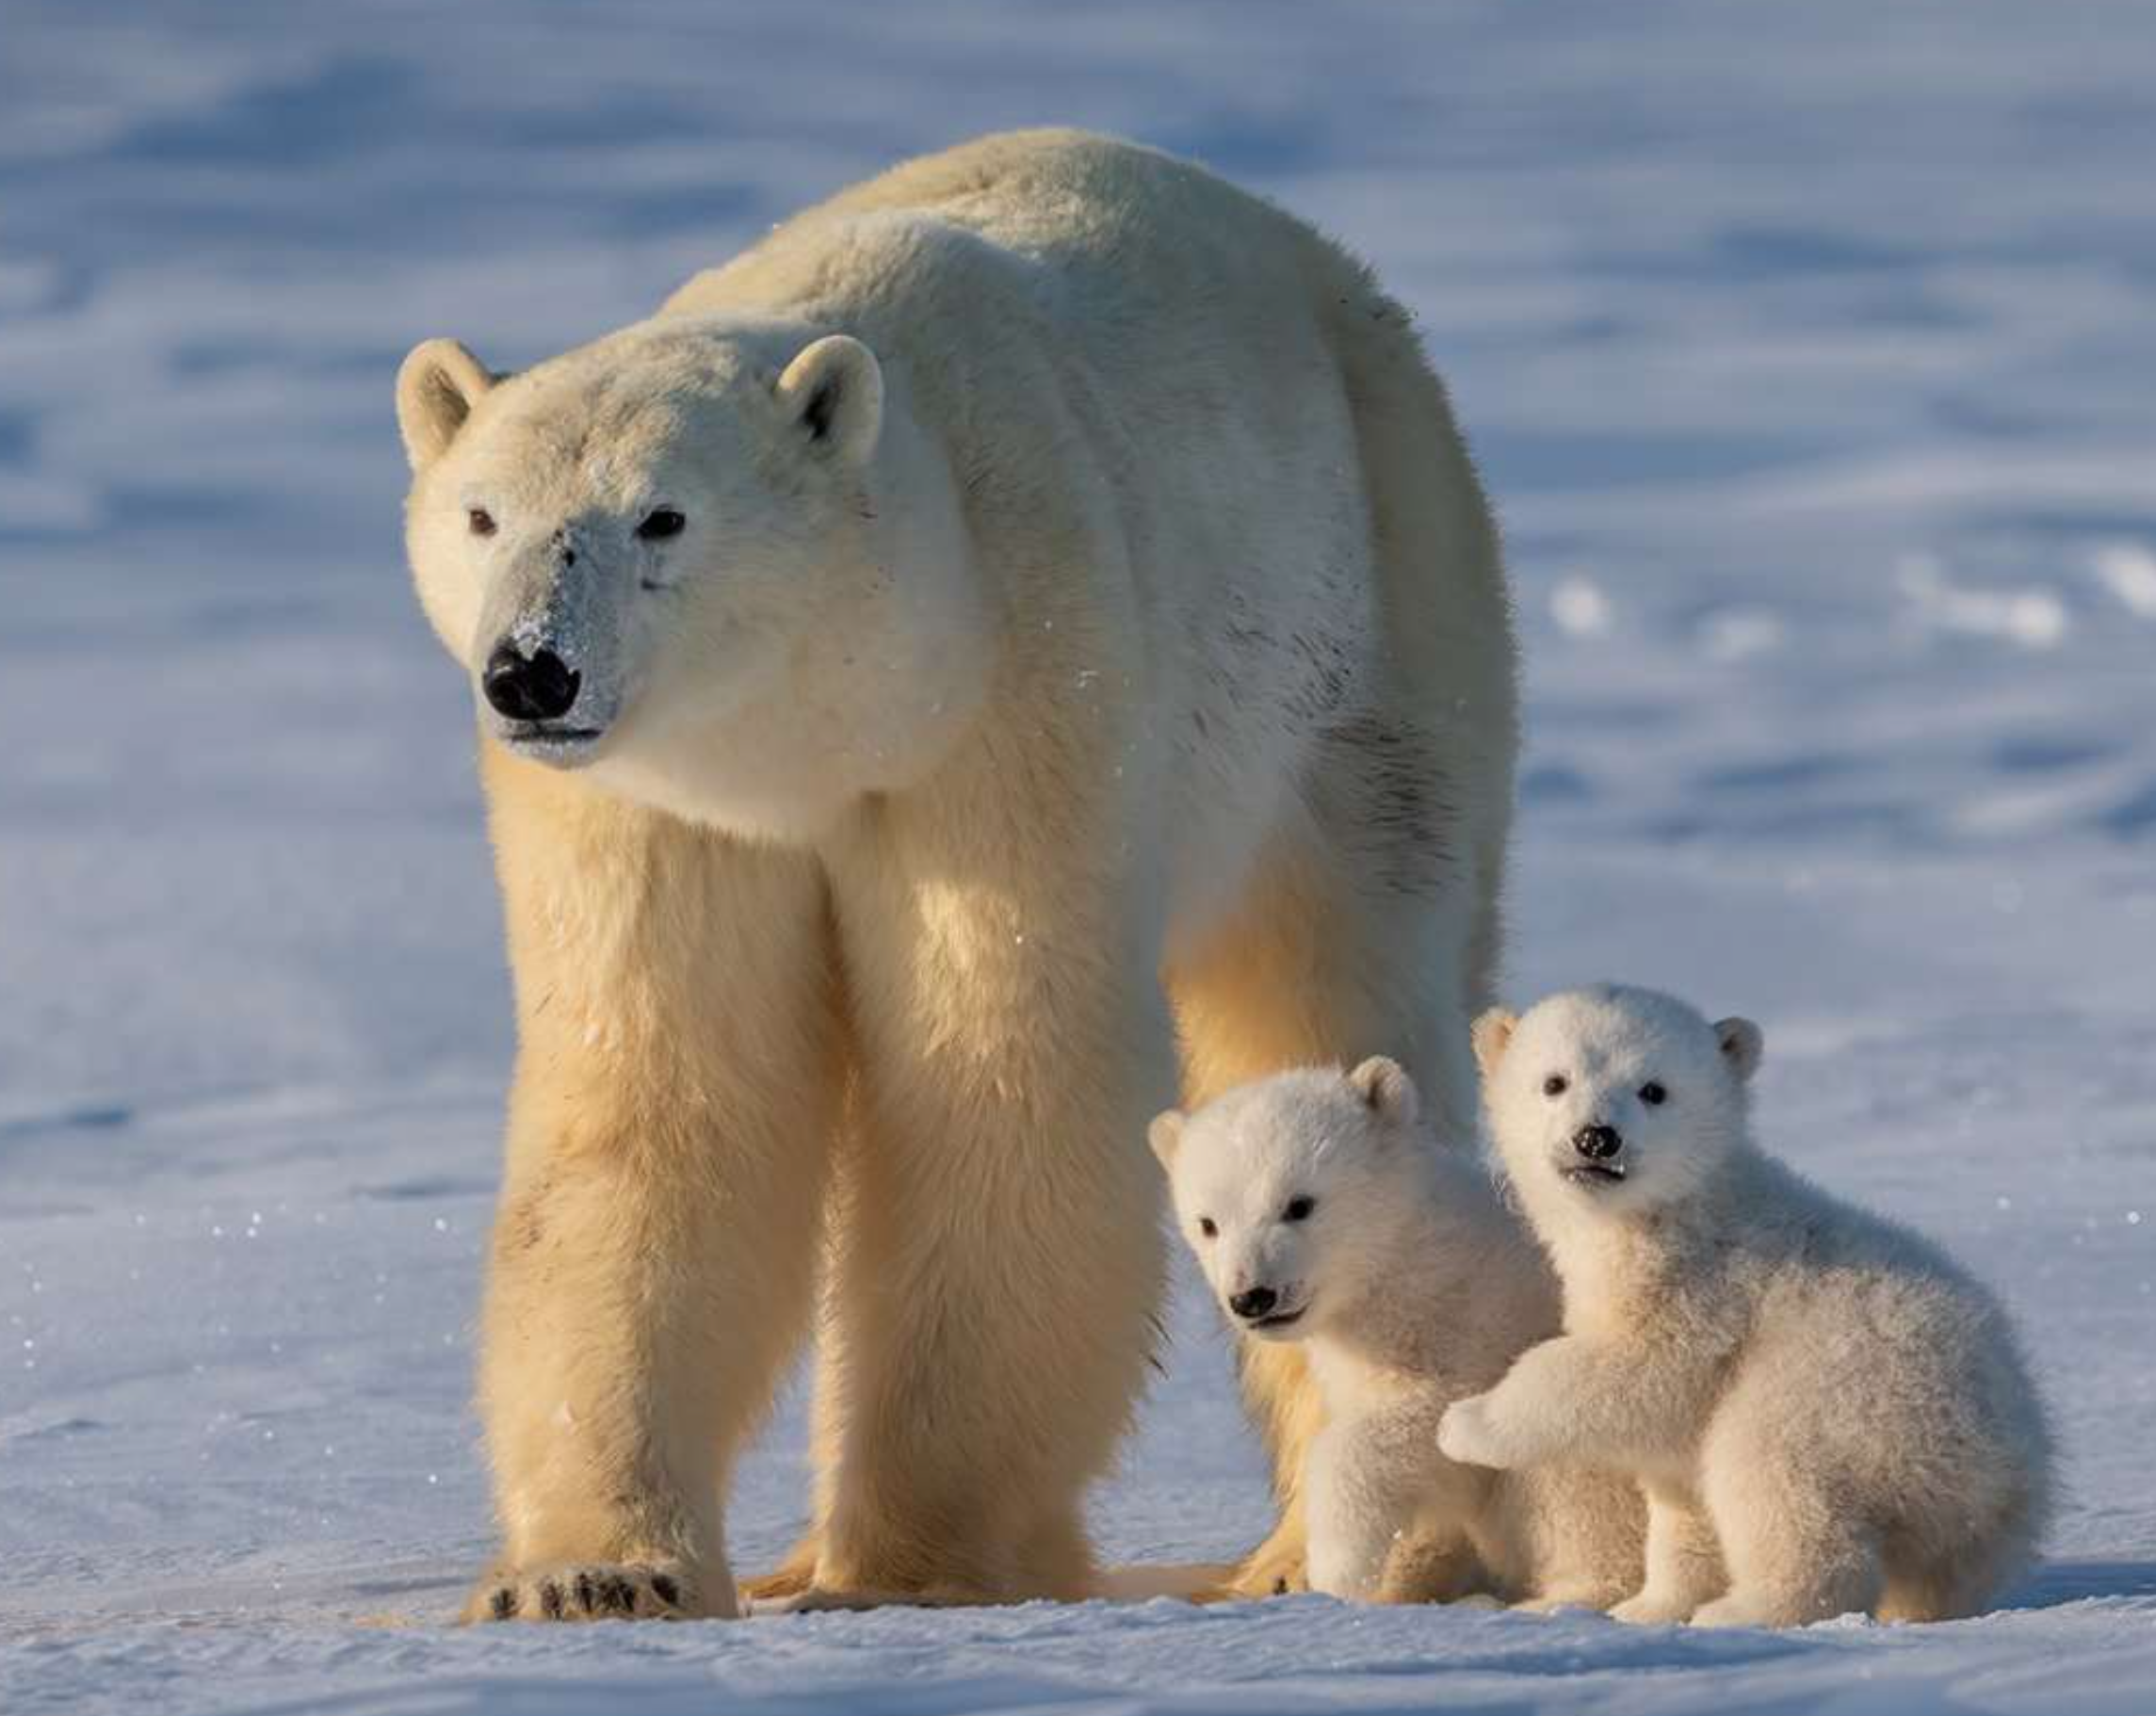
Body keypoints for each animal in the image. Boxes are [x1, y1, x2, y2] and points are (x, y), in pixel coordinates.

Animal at [397, 134, 1526, 1621]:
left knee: (1330, 986)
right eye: (482, 514)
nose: (532, 669)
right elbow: (659, 1103)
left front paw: (908, 1568)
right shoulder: (661, 811)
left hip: (1371, 639)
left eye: (664, 516)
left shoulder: (1017, 697)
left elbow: (999, 1085)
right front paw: (593, 1572)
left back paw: (1320, 1551)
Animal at [1155, 1060, 1638, 1612]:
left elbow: (1425, 1425)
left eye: (1299, 1204)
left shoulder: (1476, 1324)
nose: (1253, 1296)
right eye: (1208, 1223)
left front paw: (1338, 1566)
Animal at [1440, 987, 2043, 1629]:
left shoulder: (1702, 1289)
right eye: (1555, 1081)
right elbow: (1680, 1495)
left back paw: (1745, 1609)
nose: (1597, 1137)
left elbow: (1630, 1369)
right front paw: (1648, 1608)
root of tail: (2003, 1461)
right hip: (1961, 1516)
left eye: (1654, 1089)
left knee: (1769, 1471)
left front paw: (1465, 1423)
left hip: (1848, 1394)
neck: (1675, 1210)